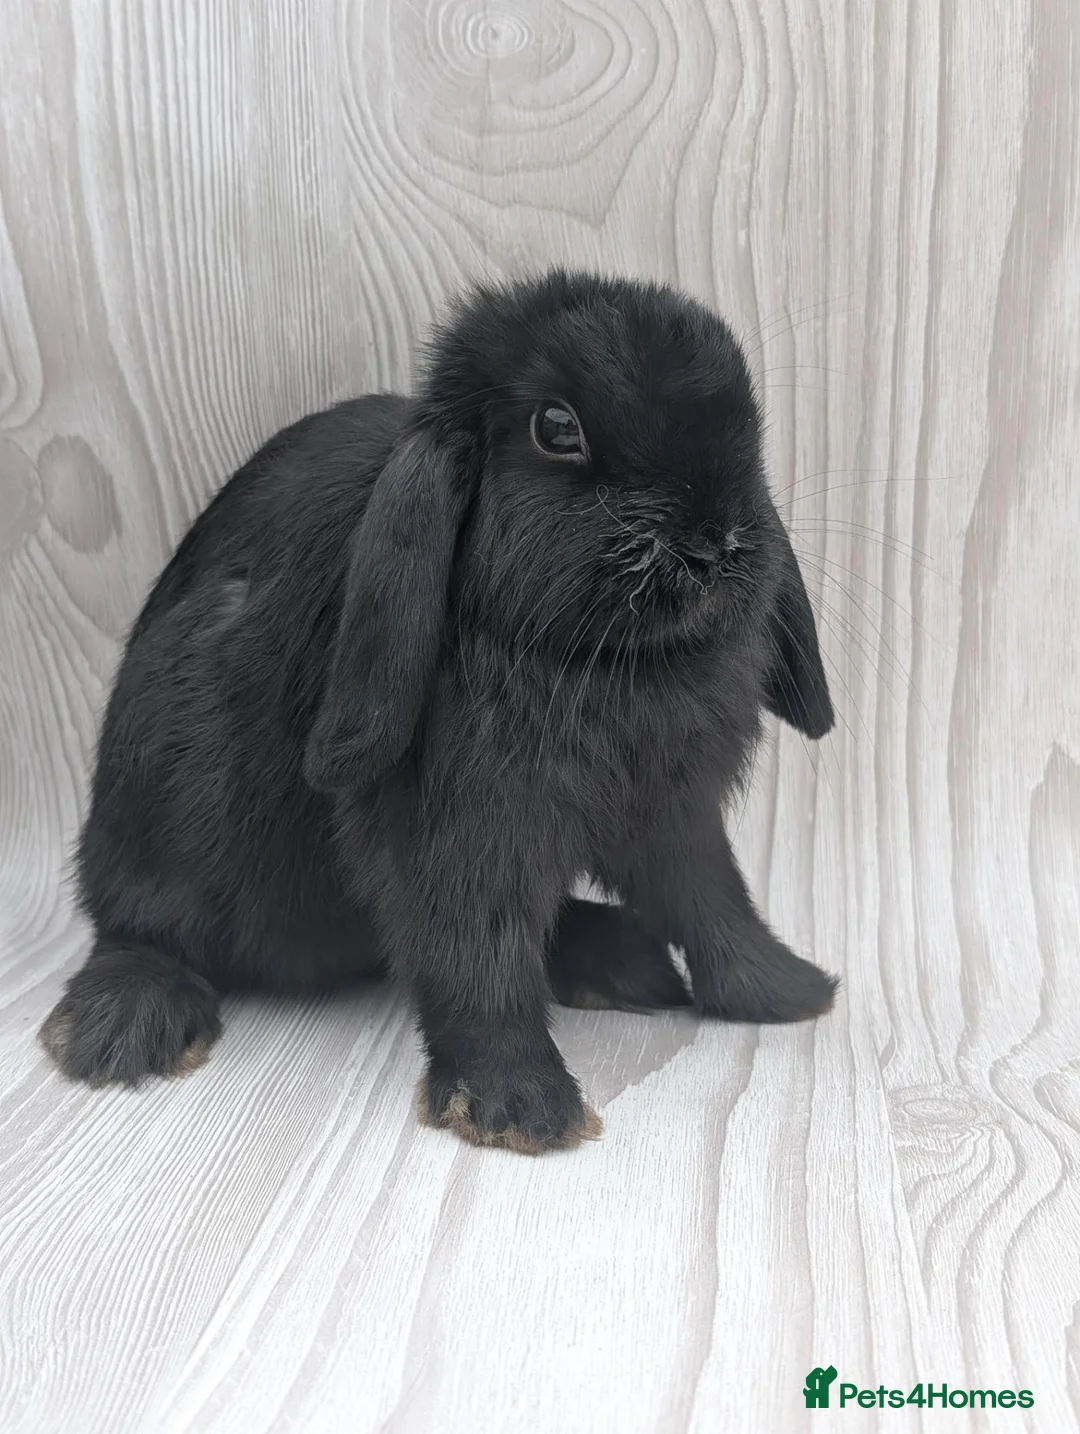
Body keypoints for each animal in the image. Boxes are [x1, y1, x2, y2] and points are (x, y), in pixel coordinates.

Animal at [40, 268, 837, 1154]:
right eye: (556, 428)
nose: (715, 540)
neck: (604, 660)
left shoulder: (674, 814)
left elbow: (714, 900)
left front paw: (790, 991)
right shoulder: (455, 831)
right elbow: (476, 956)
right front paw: (520, 1109)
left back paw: (623, 960)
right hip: (161, 800)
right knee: (140, 925)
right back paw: (125, 1024)